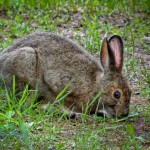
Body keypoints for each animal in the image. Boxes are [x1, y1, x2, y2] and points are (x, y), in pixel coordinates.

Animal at [0, 32, 131, 118]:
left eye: (130, 92)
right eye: (117, 94)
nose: (125, 114)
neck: (97, 85)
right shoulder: (59, 83)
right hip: (26, 64)